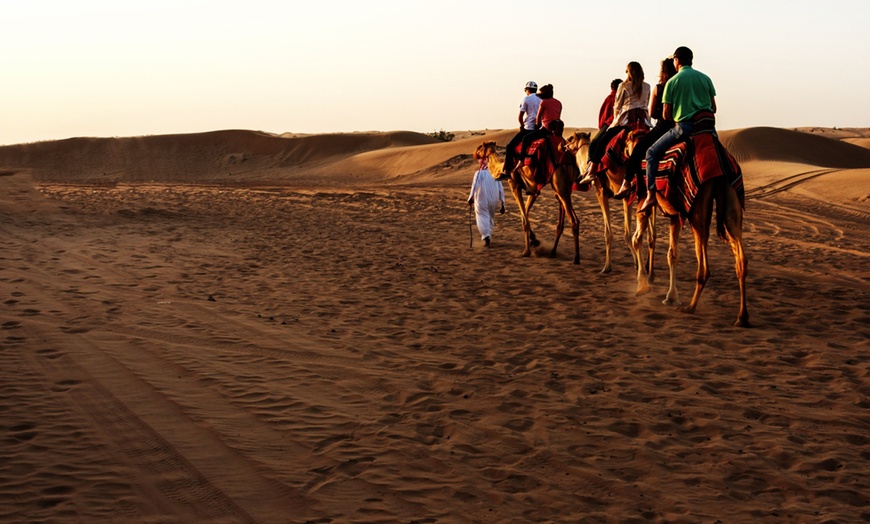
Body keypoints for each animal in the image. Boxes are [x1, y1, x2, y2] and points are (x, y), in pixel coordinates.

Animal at [480, 129, 584, 264]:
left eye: (480, 147)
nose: (475, 154)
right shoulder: (534, 190)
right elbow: (524, 214)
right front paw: (534, 240)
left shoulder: (514, 185)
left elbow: (524, 218)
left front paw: (527, 251)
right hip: (564, 187)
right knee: (565, 215)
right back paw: (553, 252)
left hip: (559, 185)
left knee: (574, 220)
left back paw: (576, 258)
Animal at [628, 129, 748, 326]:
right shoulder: (675, 216)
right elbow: (672, 254)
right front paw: (671, 296)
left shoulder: (643, 201)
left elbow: (637, 239)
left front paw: (643, 286)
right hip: (731, 199)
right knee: (741, 260)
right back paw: (741, 317)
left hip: (697, 211)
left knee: (704, 266)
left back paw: (690, 307)